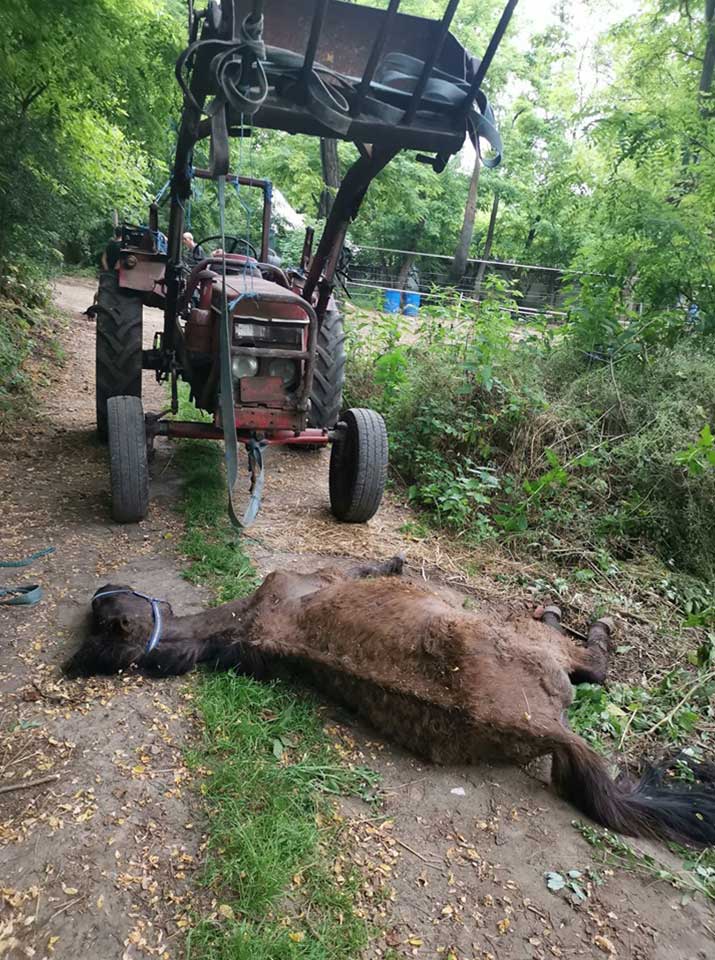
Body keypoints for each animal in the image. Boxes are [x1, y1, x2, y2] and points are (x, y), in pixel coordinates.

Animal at [65, 560, 715, 844]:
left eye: (104, 609)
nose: (101, 586)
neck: (241, 626)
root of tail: (539, 727)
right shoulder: (326, 575)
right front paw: (397, 562)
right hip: (531, 645)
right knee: (593, 665)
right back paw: (573, 618)